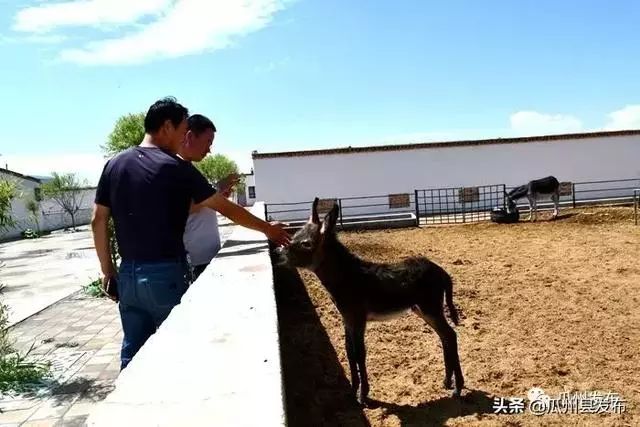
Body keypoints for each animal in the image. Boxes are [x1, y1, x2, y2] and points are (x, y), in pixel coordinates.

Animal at [276, 199, 464, 406]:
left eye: (306, 243)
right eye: (293, 236)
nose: (278, 254)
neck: (348, 277)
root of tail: (441, 271)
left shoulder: (358, 318)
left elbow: (360, 353)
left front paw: (363, 395)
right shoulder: (347, 319)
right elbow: (350, 352)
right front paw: (353, 390)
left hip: (430, 307)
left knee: (450, 335)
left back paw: (457, 387)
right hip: (422, 309)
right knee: (445, 336)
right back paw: (447, 381)